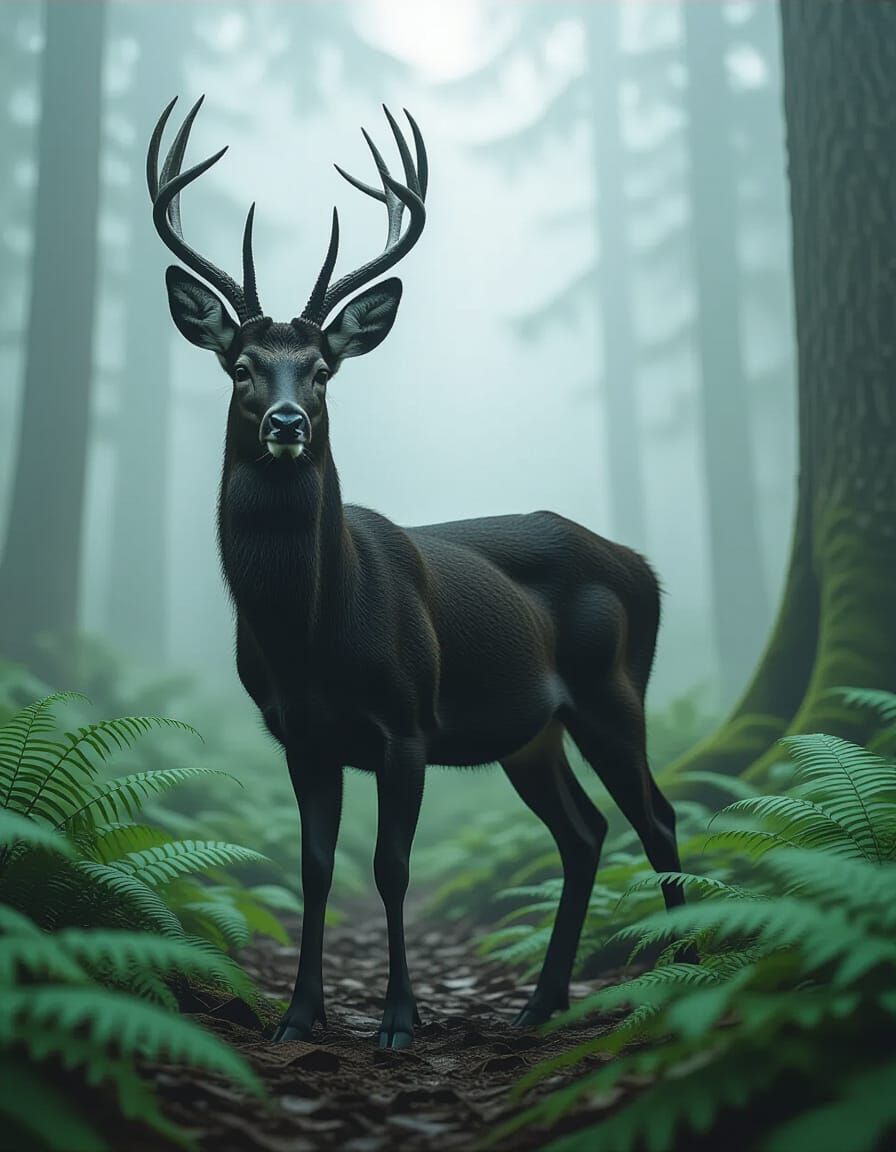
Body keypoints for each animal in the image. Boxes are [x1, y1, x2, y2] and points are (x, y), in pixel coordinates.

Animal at [147, 96, 689, 1050]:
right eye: (242, 366)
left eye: (323, 370)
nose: (287, 422)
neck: (309, 632)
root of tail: (644, 569)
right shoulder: (301, 734)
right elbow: (316, 866)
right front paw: (300, 1016)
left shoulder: (408, 720)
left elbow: (391, 866)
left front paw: (399, 1020)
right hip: (532, 731)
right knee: (585, 831)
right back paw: (540, 1004)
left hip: (613, 688)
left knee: (656, 817)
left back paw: (690, 980)